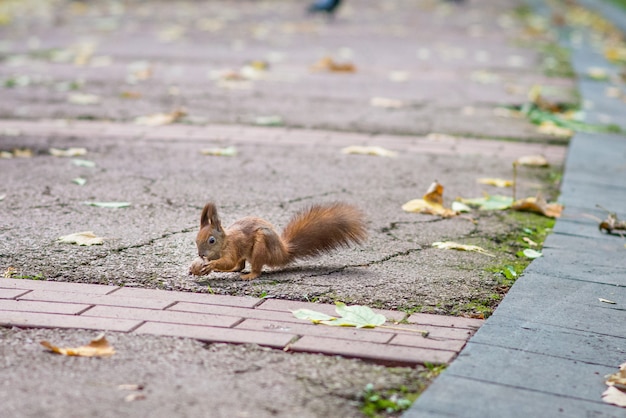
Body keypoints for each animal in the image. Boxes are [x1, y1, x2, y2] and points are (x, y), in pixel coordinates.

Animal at [190, 202, 366, 280]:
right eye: (196, 240)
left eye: (211, 240)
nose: (201, 254)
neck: (225, 241)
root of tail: (282, 253)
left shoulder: (233, 248)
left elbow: (228, 261)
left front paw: (211, 265)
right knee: (239, 266)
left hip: (261, 245)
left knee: (255, 268)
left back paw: (250, 275)